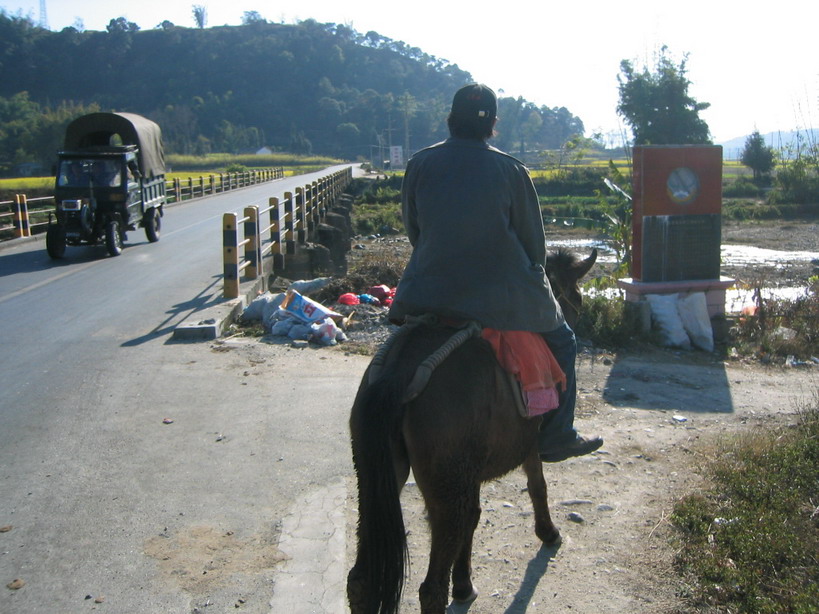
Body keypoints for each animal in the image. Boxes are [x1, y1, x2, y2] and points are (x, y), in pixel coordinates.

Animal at [346, 247, 596, 614]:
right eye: (576, 297)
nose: (575, 321)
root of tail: (401, 372)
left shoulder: (472, 471)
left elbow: (475, 517)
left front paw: (463, 583)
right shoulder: (529, 444)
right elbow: (537, 486)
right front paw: (548, 532)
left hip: (376, 476)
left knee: (361, 580)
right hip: (446, 484)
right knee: (430, 589)